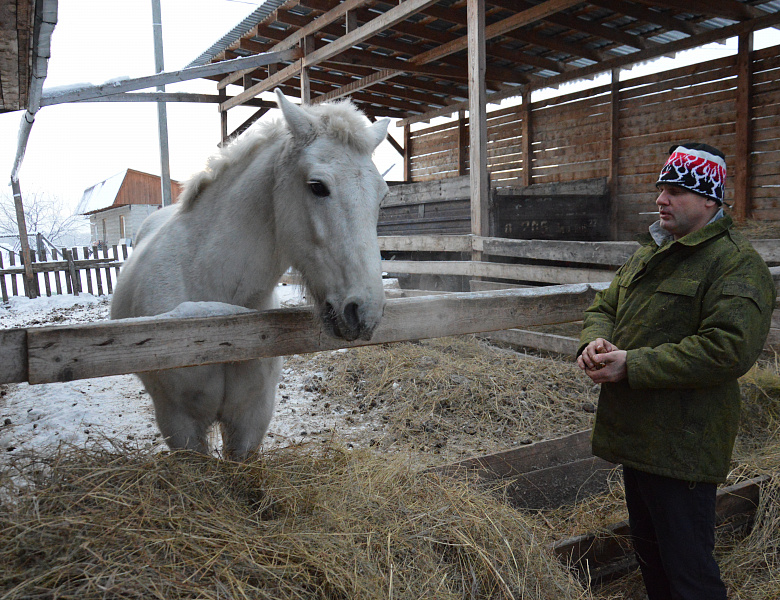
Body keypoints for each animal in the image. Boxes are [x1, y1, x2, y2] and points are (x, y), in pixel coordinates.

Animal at [109, 89, 390, 458]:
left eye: (382, 195)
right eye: (317, 186)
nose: (364, 312)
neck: (218, 319)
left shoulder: (250, 420)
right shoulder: (180, 425)